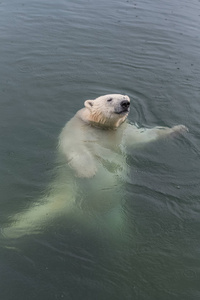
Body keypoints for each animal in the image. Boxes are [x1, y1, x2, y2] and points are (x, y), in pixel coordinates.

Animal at [2, 94, 188, 239]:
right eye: (109, 99)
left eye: (126, 98)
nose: (125, 103)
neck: (101, 127)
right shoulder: (77, 131)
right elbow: (76, 149)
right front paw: (89, 171)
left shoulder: (122, 133)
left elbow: (143, 137)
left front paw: (179, 129)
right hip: (70, 187)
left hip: (113, 213)